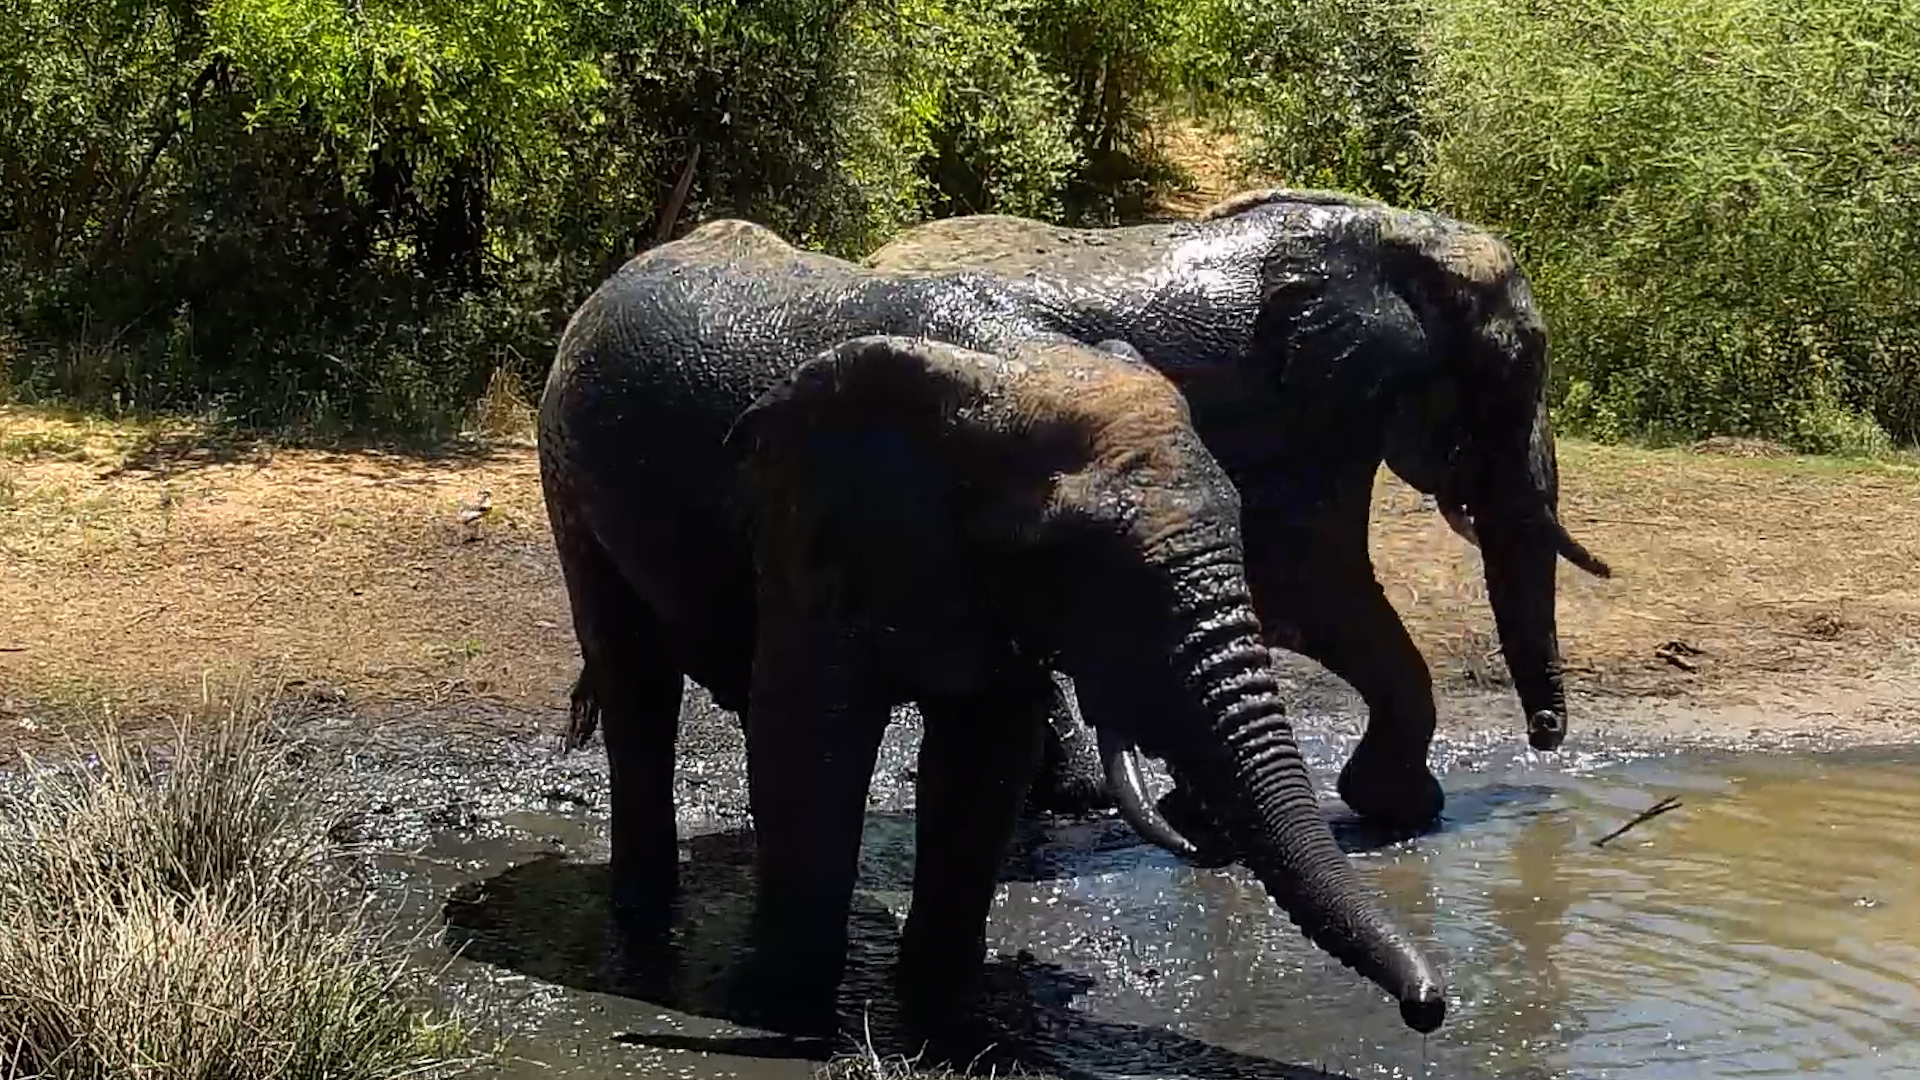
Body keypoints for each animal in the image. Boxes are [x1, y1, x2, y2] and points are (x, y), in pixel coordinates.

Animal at [537, 222, 1449, 1044]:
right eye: (1074, 562)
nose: (1430, 1007)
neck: (1012, 363)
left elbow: (984, 752)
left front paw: (940, 1004)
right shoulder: (810, 518)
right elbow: (810, 732)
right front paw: (778, 1009)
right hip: (565, 476)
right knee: (635, 679)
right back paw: (643, 920)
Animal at [861, 187, 1613, 844]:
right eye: (1515, 369)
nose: (1545, 733)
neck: (1396, 235)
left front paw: (1209, 814)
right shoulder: (1306, 409)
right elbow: (1311, 587)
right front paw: (1399, 808)